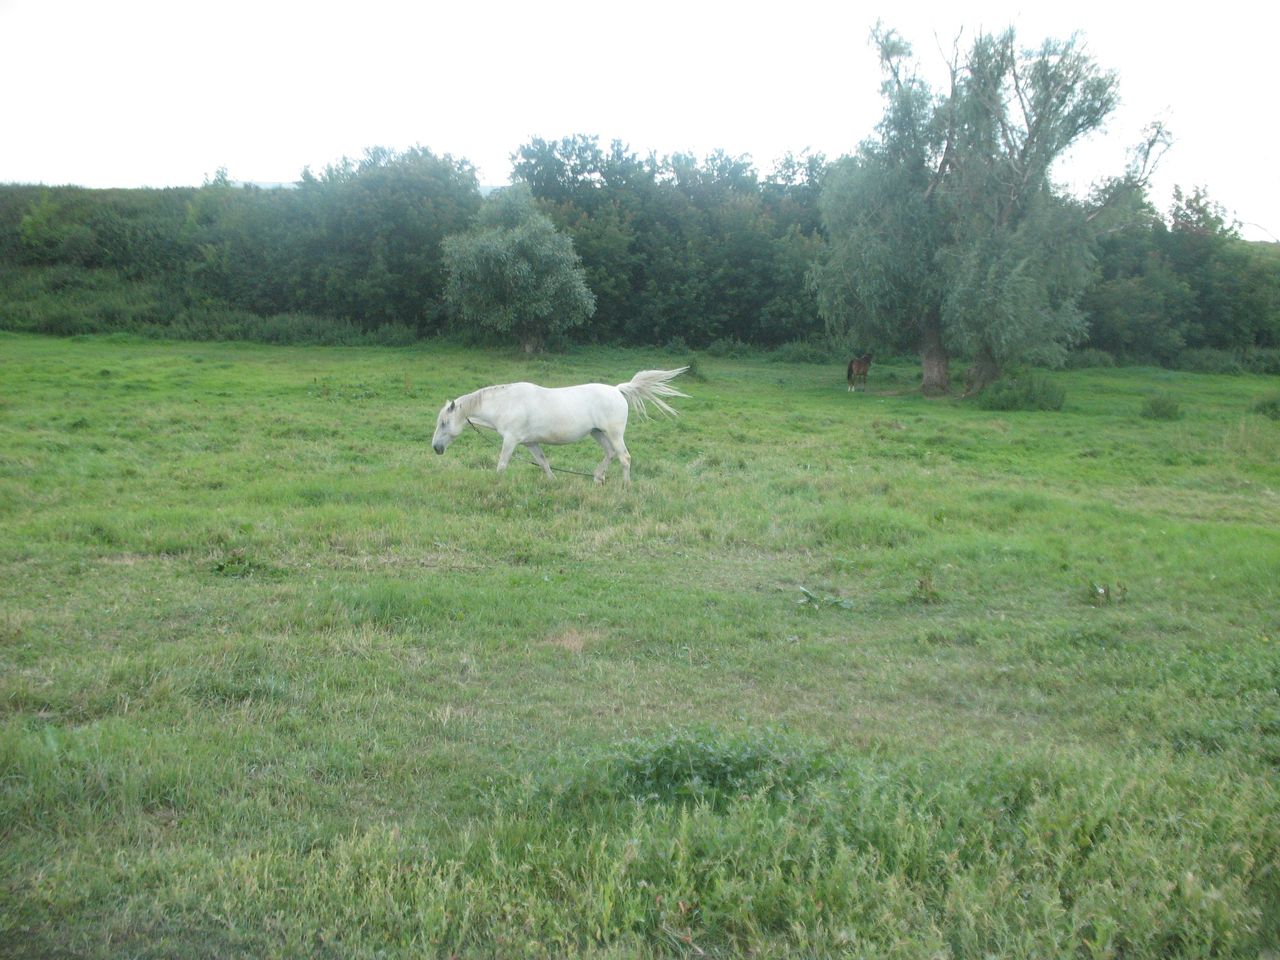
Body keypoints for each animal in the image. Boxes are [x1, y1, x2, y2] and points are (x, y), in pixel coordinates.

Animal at [431, 368, 689, 485]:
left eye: (444, 423)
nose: (436, 448)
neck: (507, 403)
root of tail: (617, 390)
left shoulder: (511, 440)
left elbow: (502, 464)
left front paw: (497, 483)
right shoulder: (530, 443)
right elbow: (544, 462)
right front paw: (553, 481)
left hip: (614, 433)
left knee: (624, 457)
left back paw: (625, 486)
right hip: (598, 434)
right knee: (610, 454)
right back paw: (598, 478)